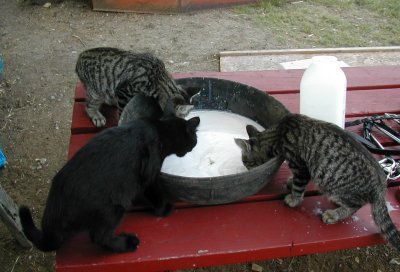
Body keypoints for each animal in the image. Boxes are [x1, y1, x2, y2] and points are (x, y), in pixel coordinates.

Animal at [18, 102, 200, 253]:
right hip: (114, 207)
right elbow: (156, 194)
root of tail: (56, 208)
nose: (194, 145)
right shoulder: (149, 175)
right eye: (194, 139)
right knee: (99, 236)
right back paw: (127, 243)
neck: (159, 128)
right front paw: (164, 209)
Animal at [234, 112, 400, 251]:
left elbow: (298, 187)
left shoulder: (300, 166)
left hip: (333, 185)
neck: (278, 134)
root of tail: (380, 187)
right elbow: (295, 181)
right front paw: (290, 181)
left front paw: (293, 200)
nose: (245, 168)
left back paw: (334, 214)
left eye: (245, 161)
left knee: (355, 205)